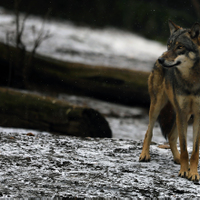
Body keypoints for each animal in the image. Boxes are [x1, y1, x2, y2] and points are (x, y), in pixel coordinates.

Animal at [139, 19, 200, 181]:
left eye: (180, 47)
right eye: (169, 45)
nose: (161, 60)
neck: (192, 80)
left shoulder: (197, 115)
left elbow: (194, 150)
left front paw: (193, 173)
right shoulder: (182, 112)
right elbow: (185, 147)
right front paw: (184, 171)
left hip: (182, 114)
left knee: (172, 137)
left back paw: (178, 159)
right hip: (158, 106)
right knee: (149, 131)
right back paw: (144, 155)